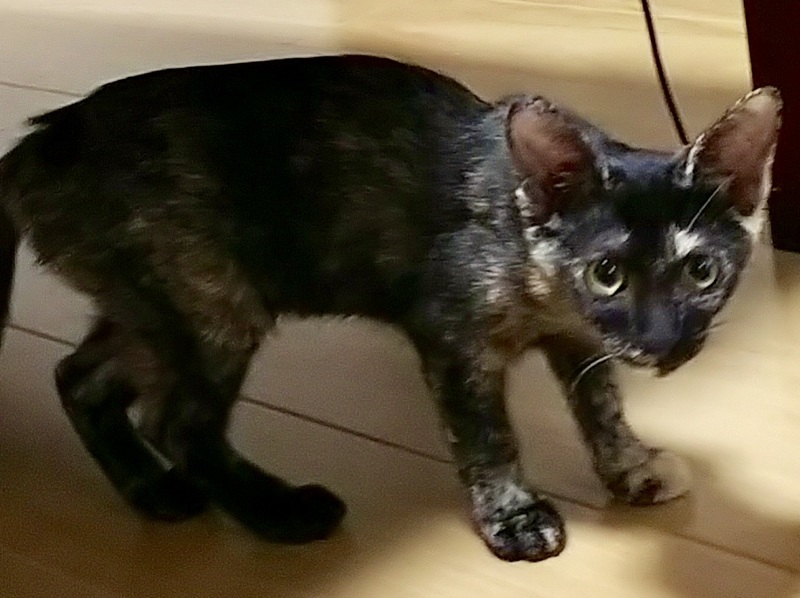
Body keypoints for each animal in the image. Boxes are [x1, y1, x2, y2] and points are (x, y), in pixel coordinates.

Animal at [0, 54, 781, 563]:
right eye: (609, 273)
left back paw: (149, 492)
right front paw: (513, 517)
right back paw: (280, 514)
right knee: (177, 421)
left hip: (153, 308)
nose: (662, 342)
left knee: (80, 379)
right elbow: (487, 436)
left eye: (702, 271)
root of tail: (36, 144)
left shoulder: (582, 341)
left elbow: (601, 406)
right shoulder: (452, 339)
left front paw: (631, 468)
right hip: (211, 303)